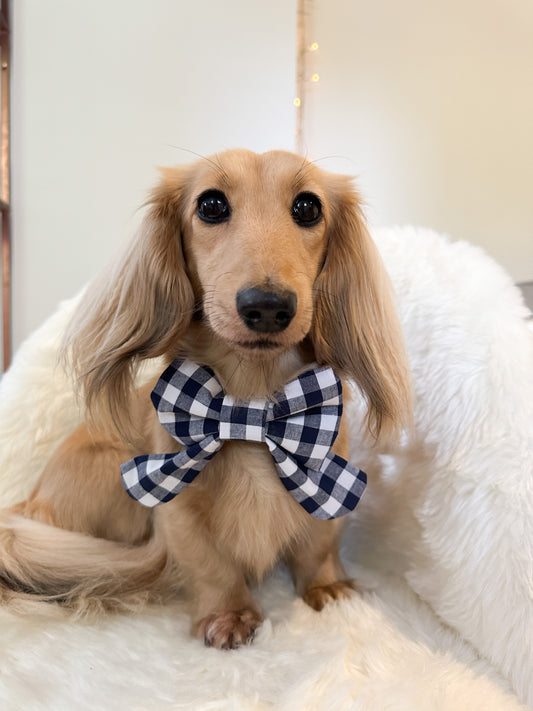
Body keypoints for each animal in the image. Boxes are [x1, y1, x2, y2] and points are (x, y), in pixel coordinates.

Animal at [0, 149, 410, 649]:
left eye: (308, 207)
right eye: (211, 205)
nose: (267, 306)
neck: (250, 406)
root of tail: (28, 504)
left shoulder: (324, 477)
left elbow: (318, 543)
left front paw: (328, 588)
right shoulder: (174, 499)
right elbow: (211, 565)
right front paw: (228, 614)